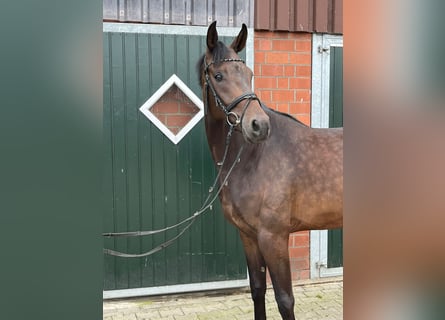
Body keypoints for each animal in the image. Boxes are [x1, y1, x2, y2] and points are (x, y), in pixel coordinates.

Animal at [196, 21, 342, 318]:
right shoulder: (249, 236)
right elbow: (257, 290)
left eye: (249, 74)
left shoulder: (273, 237)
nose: (259, 125)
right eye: (218, 75)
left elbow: (285, 299)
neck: (254, 158)